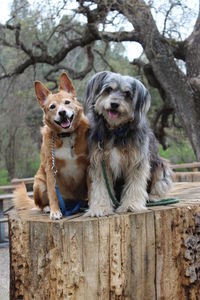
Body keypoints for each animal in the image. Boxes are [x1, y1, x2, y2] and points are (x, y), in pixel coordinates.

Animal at [13, 72, 88, 219]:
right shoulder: (50, 168)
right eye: (52, 107)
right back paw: (47, 208)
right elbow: (53, 193)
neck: (66, 135)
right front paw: (55, 211)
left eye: (67, 102)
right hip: (39, 183)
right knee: (40, 204)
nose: (62, 112)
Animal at [83, 71, 173, 216]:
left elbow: (135, 184)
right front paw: (100, 208)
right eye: (108, 90)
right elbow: (100, 187)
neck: (116, 130)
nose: (114, 104)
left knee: (159, 183)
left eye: (127, 94)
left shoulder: (137, 161)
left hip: (160, 166)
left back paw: (154, 197)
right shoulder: (100, 162)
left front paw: (131, 205)